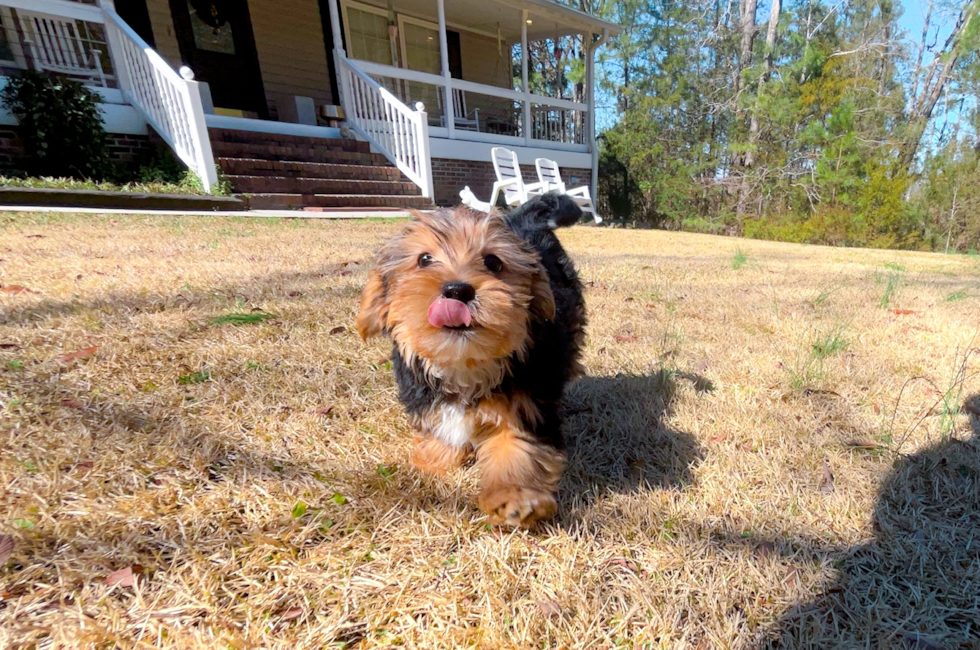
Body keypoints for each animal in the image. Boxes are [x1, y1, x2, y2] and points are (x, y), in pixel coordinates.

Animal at [360, 192, 588, 528]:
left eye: (493, 262)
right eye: (424, 259)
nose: (457, 289)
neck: (465, 362)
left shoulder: (526, 402)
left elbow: (518, 445)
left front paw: (515, 498)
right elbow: (440, 429)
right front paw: (435, 460)